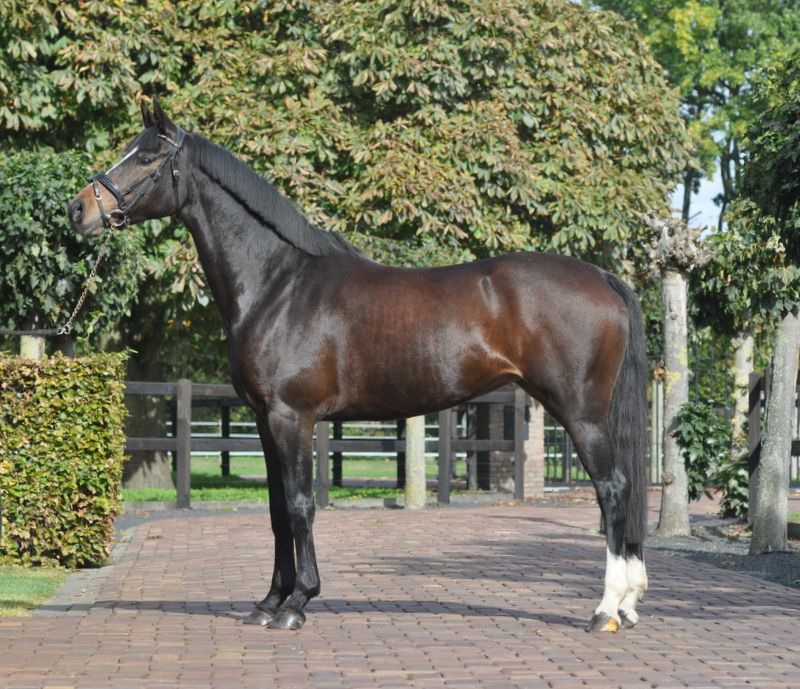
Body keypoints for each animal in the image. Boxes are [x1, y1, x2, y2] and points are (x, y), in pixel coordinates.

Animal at [69, 96, 648, 633]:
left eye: (146, 157)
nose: (79, 211)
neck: (277, 283)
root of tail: (604, 279)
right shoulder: (264, 420)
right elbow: (277, 511)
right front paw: (268, 603)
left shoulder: (291, 417)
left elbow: (300, 506)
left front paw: (297, 603)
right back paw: (627, 603)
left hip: (580, 413)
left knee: (613, 489)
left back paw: (606, 609)